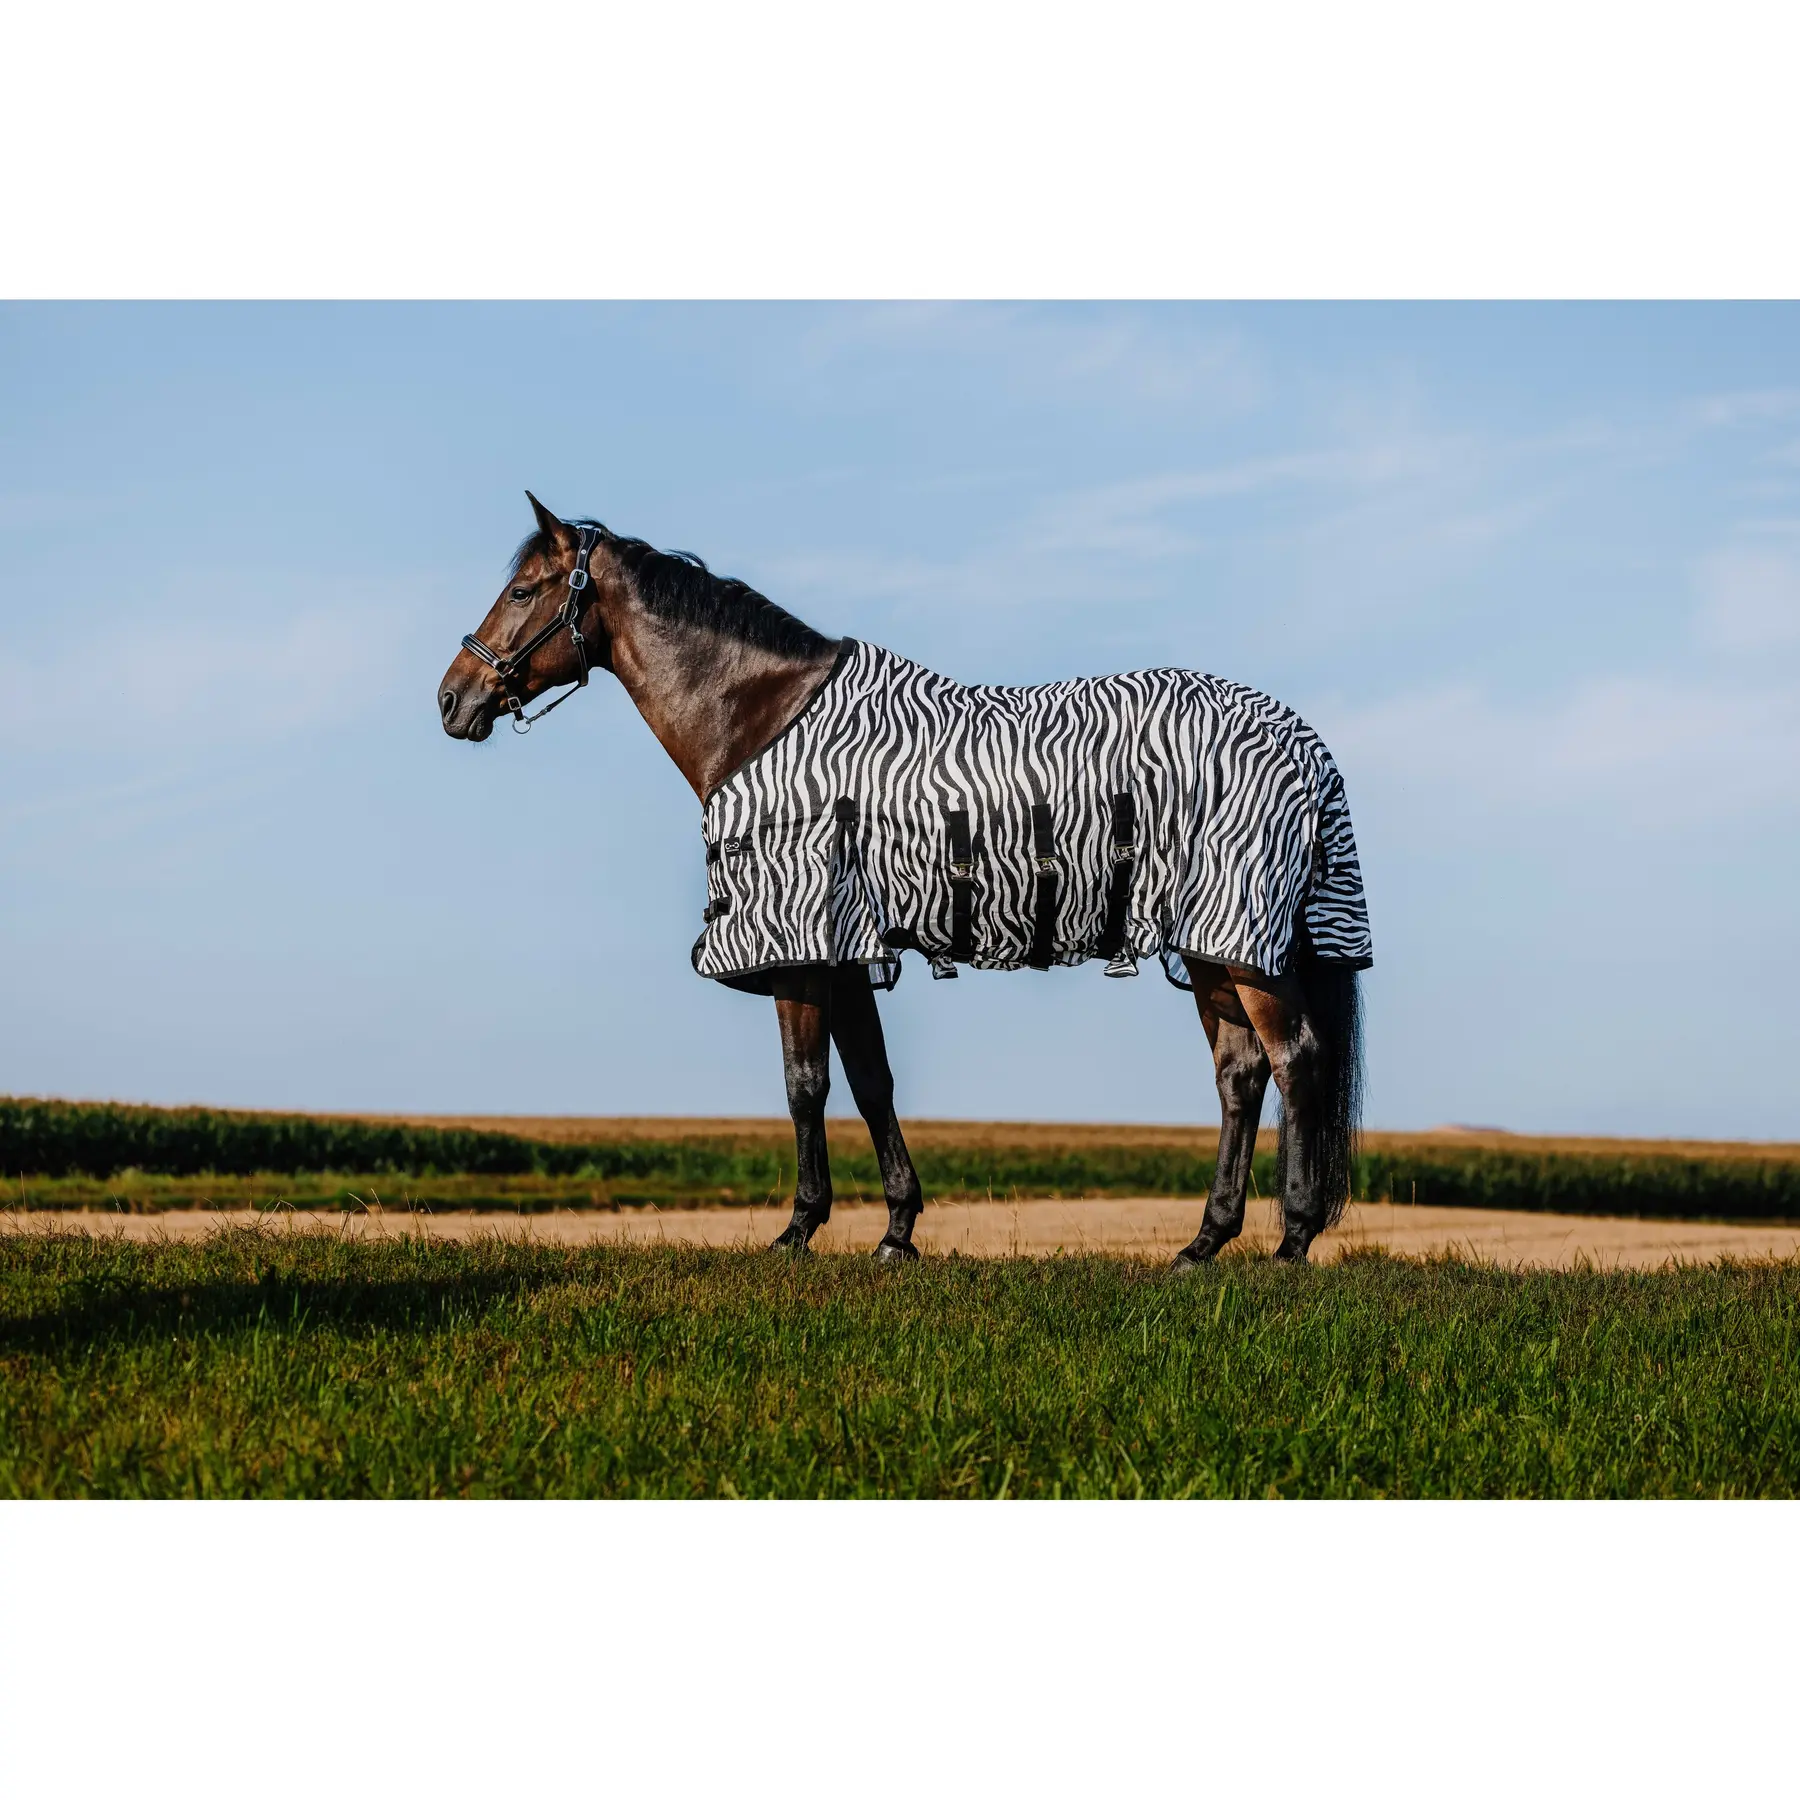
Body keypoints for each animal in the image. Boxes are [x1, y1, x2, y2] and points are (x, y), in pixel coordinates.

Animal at [439, 493, 1370, 1267]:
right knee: (1240, 1075)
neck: (763, 719)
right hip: (1211, 947)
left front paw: (798, 1231)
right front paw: (895, 1230)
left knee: (1295, 1060)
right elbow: (869, 1080)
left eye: (522, 591)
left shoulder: (801, 947)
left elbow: (806, 1086)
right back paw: (1202, 1245)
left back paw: (1291, 1243)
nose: (453, 698)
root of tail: (1303, 743)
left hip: (1242, 944)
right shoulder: (846, 953)